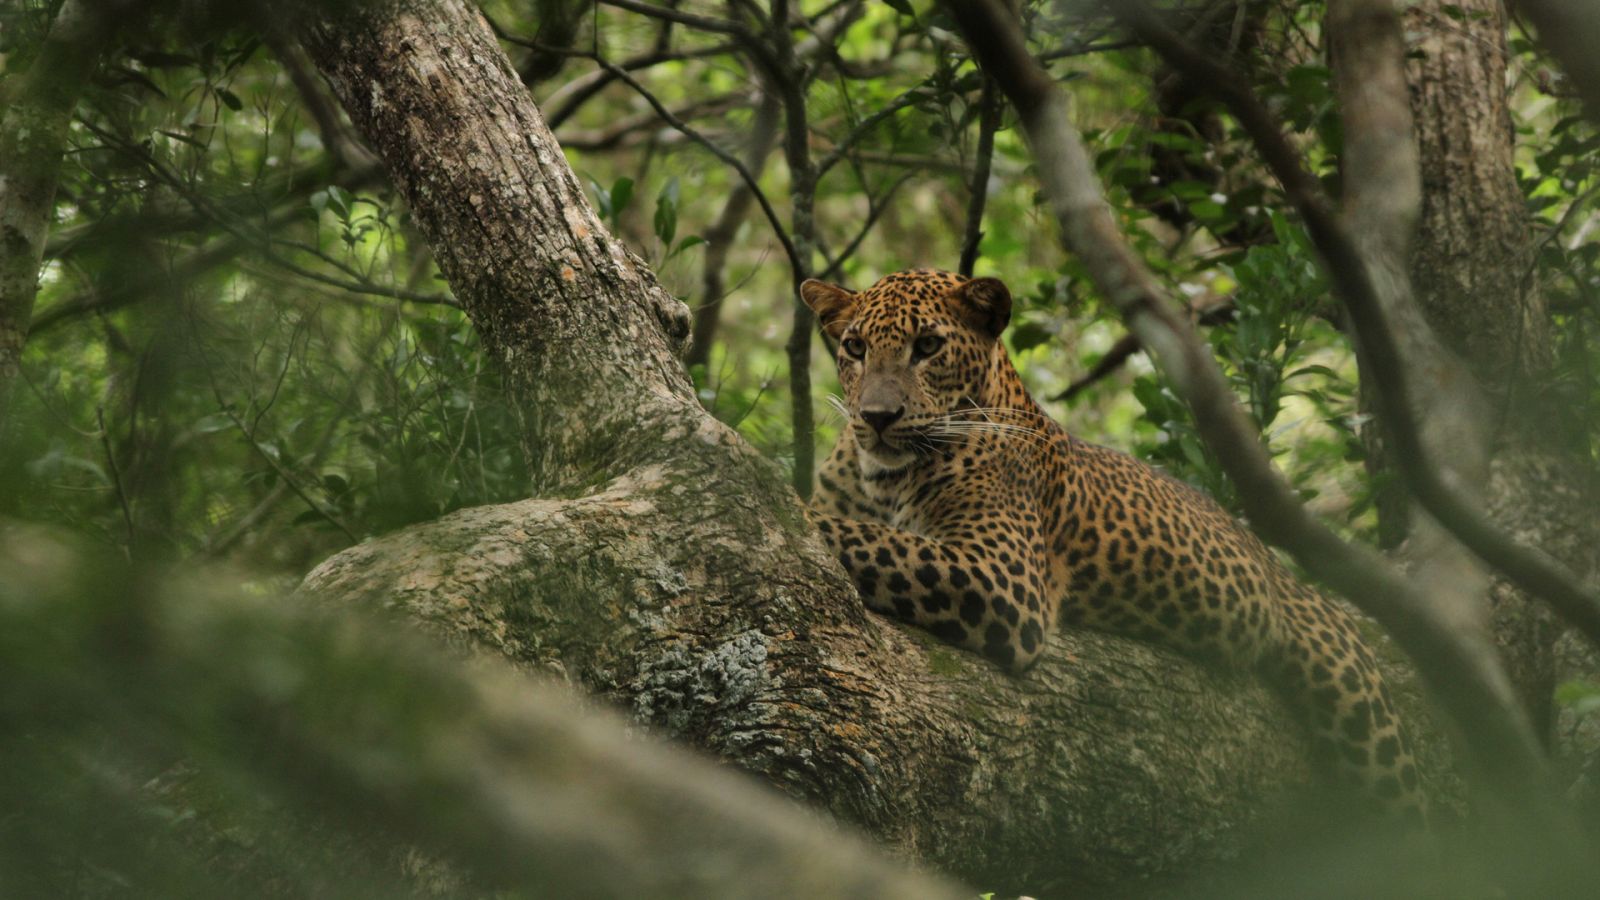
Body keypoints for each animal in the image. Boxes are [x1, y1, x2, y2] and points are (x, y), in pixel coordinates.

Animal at [800, 264, 1427, 819]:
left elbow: (866, 537)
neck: (882, 480)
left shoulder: (1004, 576)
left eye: (928, 346)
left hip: (1357, 702)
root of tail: (1293, 578)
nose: (876, 417)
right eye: (854, 347)